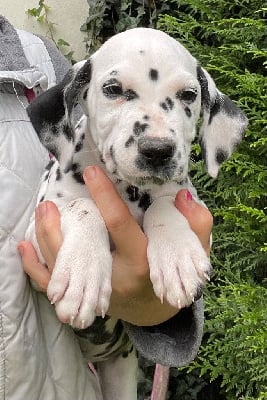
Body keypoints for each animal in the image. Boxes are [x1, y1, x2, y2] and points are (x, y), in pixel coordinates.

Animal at [26, 28, 248, 400]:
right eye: (113, 89)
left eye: (189, 95)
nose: (157, 150)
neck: (126, 190)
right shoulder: (35, 234)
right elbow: (84, 205)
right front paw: (82, 273)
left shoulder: (193, 205)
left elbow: (165, 203)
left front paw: (177, 259)